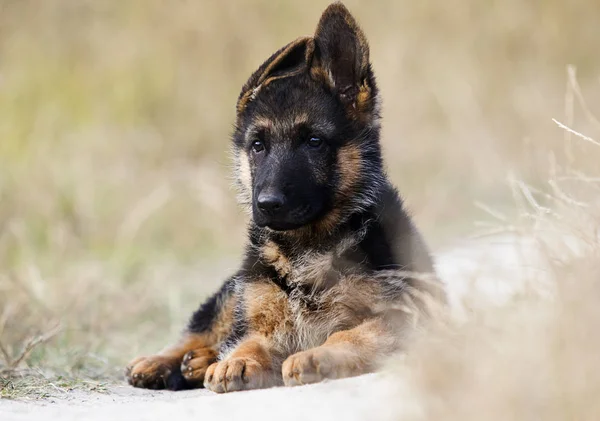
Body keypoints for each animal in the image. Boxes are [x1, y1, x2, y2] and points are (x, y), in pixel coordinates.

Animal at [125, 1, 440, 392]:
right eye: (258, 146)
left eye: (314, 141)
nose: (267, 205)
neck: (307, 246)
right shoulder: (261, 317)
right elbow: (252, 340)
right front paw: (237, 361)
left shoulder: (401, 317)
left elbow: (350, 334)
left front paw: (316, 356)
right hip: (236, 289)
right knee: (208, 328)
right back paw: (173, 360)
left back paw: (196, 363)